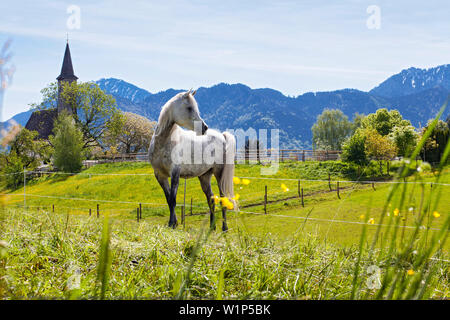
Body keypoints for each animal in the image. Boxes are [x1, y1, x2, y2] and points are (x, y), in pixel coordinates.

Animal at [149, 89, 237, 231]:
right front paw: (173, 223)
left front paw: (172, 224)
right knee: (211, 199)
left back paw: (224, 228)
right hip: (204, 176)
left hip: (219, 174)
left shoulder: (175, 174)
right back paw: (212, 227)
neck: (164, 143)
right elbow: (168, 199)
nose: (204, 127)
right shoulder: (160, 176)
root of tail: (222, 136)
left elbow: (173, 200)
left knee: (222, 198)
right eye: (189, 108)